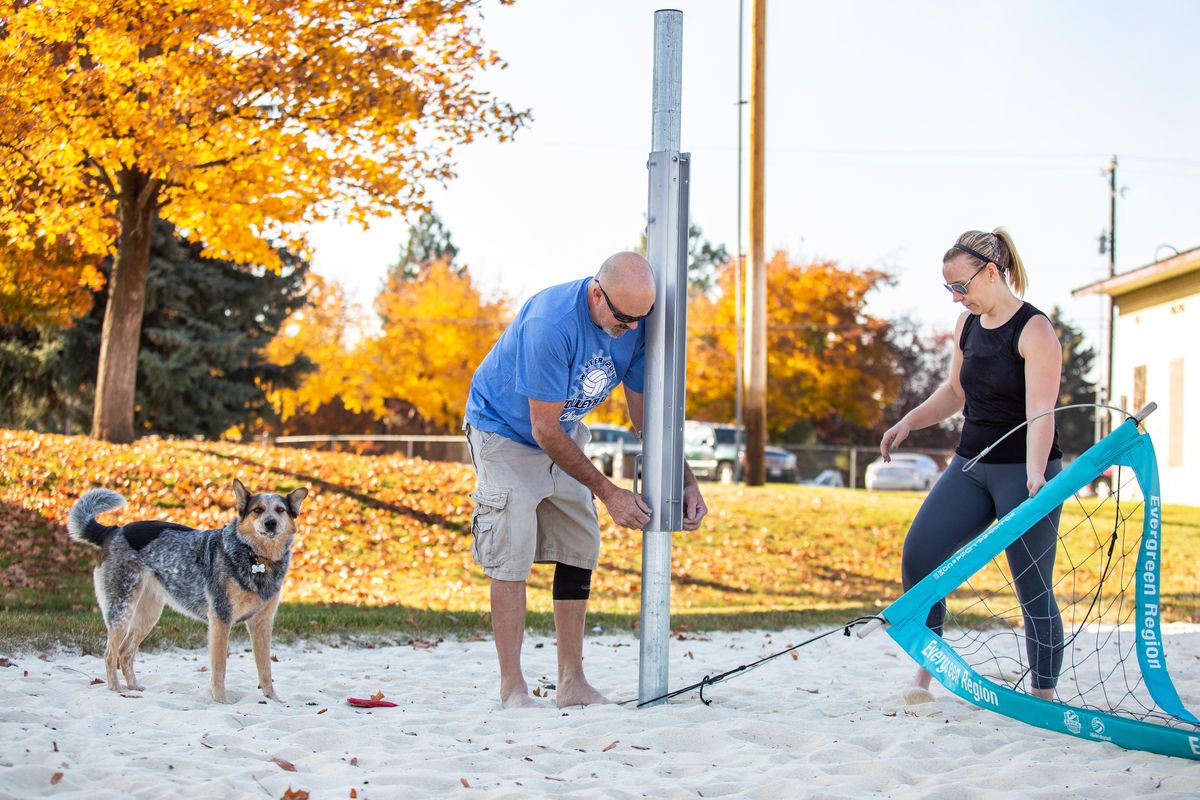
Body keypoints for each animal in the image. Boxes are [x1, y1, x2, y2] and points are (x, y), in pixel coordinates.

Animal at [66, 482, 312, 700]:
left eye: (280, 510)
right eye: (257, 510)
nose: (270, 523)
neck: (256, 558)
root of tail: (114, 530)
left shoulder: (262, 623)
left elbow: (266, 669)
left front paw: (274, 699)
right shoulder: (221, 619)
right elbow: (219, 669)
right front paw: (220, 700)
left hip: (148, 614)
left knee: (125, 652)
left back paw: (133, 686)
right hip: (121, 609)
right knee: (110, 653)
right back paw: (115, 688)